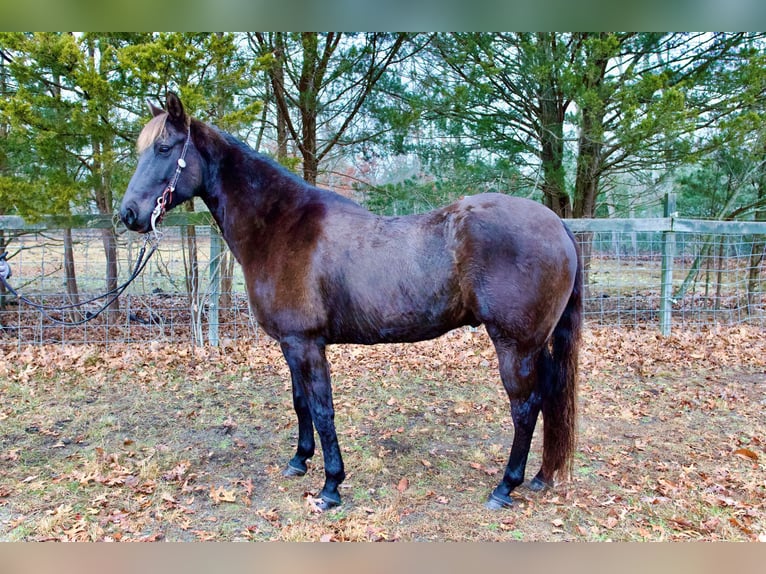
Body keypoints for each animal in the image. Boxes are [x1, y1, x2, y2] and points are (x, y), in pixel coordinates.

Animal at [120, 93, 583, 511]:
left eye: (164, 149)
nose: (129, 214)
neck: (281, 227)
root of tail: (557, 224)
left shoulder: (307, 344)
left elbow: (323, 410)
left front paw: (330, 487)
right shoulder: (291, 345)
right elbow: (301, 403)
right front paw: (299, 461)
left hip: (514, 347)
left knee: (525, 408)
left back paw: (505, 487)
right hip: (535, 347)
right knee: (548, 398)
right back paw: (541, 477)